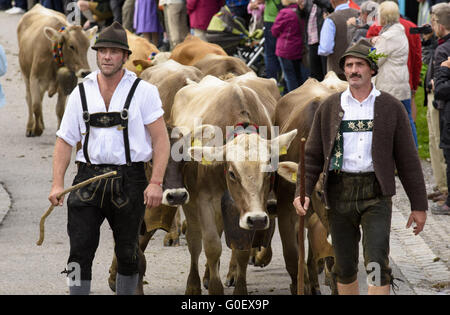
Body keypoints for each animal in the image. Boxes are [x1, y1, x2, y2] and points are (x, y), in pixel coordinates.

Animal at [17, 3, 97, 137]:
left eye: (87, 46)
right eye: (71, 46)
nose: (85, 72)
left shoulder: (63, 84)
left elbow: (60, 110)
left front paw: (60, 130)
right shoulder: (35, 78)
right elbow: (36, 105)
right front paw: (36, 129)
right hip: (25, 74)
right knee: (29, 99)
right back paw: (30, 126)